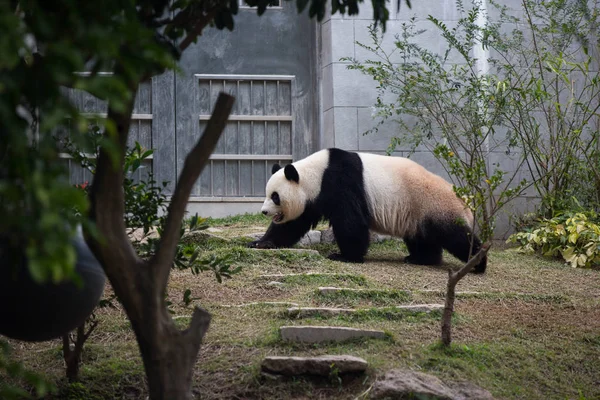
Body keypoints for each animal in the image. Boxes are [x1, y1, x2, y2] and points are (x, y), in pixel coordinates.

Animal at [248, 148, 488, 274]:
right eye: (267, 194)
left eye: (275, 196)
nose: (264, 212)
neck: (315, 173)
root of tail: (465, 201)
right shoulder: (312, 198)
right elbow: (293, 224)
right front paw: (262, 243)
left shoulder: (341, 182)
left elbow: (350, 221)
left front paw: (345, 256)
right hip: (416, 213)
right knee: (422, 238)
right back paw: (419, 259)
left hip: (434, 204)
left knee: (456, 236)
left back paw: (477, 262)